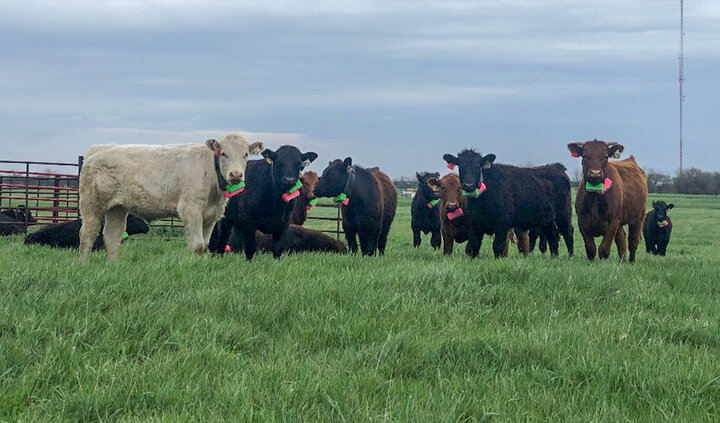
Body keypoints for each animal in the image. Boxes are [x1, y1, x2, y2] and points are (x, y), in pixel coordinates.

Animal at [77, 135, 262, 262]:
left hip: (118, 208)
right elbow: (198, 245)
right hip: (92, 204)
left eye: (246, 154)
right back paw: (83, 265)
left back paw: (112, 265)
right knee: (88, 234)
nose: (236, 174)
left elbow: (205, 245)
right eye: (223, 153)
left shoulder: (211, 216)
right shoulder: (191, 209)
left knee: (112, 236)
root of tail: (100, 149)